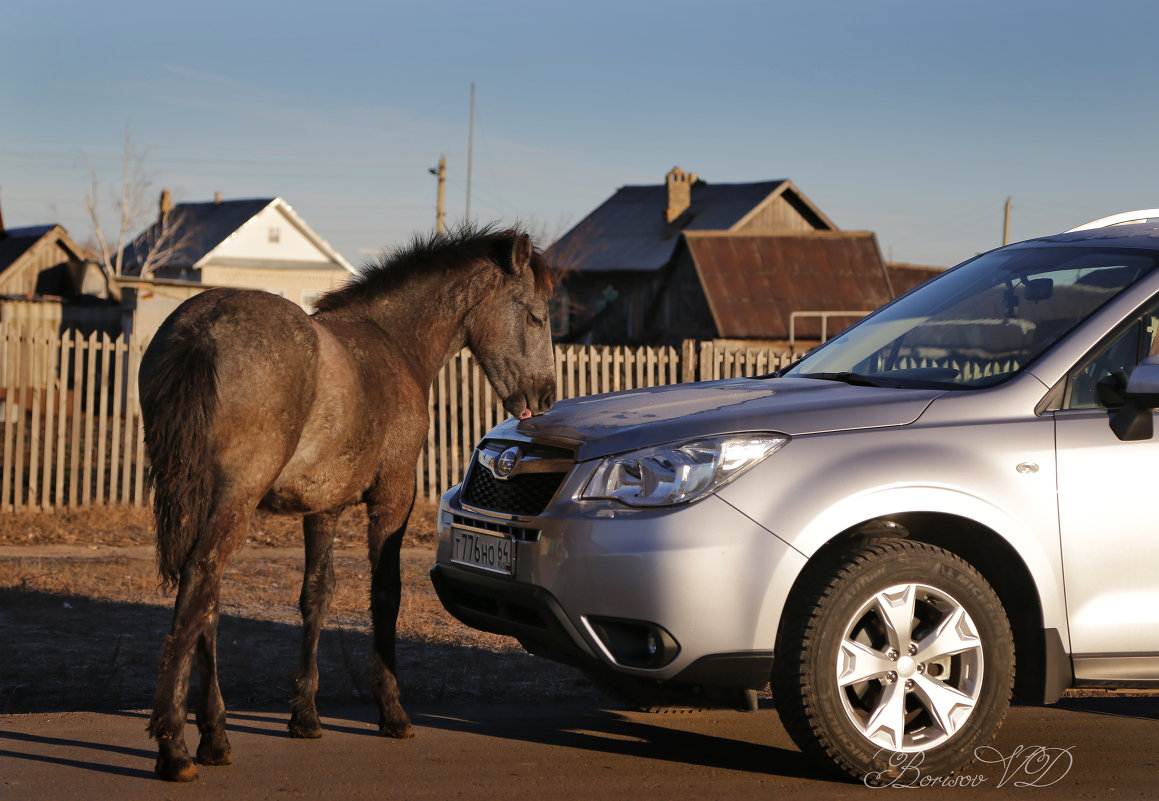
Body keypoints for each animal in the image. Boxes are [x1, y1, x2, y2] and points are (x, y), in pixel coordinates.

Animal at [140, 223, 556, 783]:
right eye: (537, 315)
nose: (546, 396)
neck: (394, 343)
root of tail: (199, 331)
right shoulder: (393, 499)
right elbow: (385, 595)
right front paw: (392, 710)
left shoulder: (324, 508)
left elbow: (316, 596)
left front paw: (305, 715)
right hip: (234, 502)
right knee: (199, 582)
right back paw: (175, 747)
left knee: (206, 596)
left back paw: (215, 738)